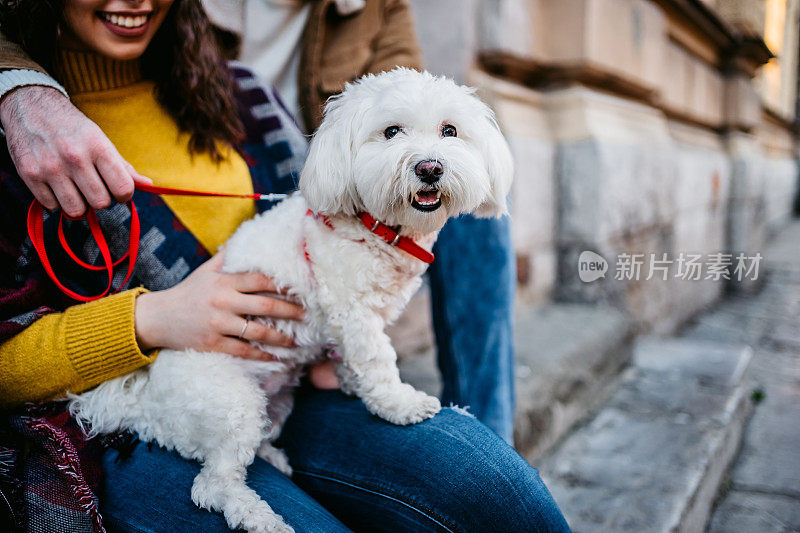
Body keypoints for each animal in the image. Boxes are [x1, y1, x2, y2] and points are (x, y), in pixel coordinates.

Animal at [72, 68, 516, 528]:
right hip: (232, 403)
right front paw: (398, 403)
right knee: (212, 484)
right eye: (391, 131)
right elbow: (378, 360)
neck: (376, 229)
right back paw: (262, 519)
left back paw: (274, 458)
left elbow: (355, 360)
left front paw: (352, 383)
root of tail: (144, 401)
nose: (430, 167)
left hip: (274, 399)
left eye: (450, 131)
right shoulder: (352, 312)